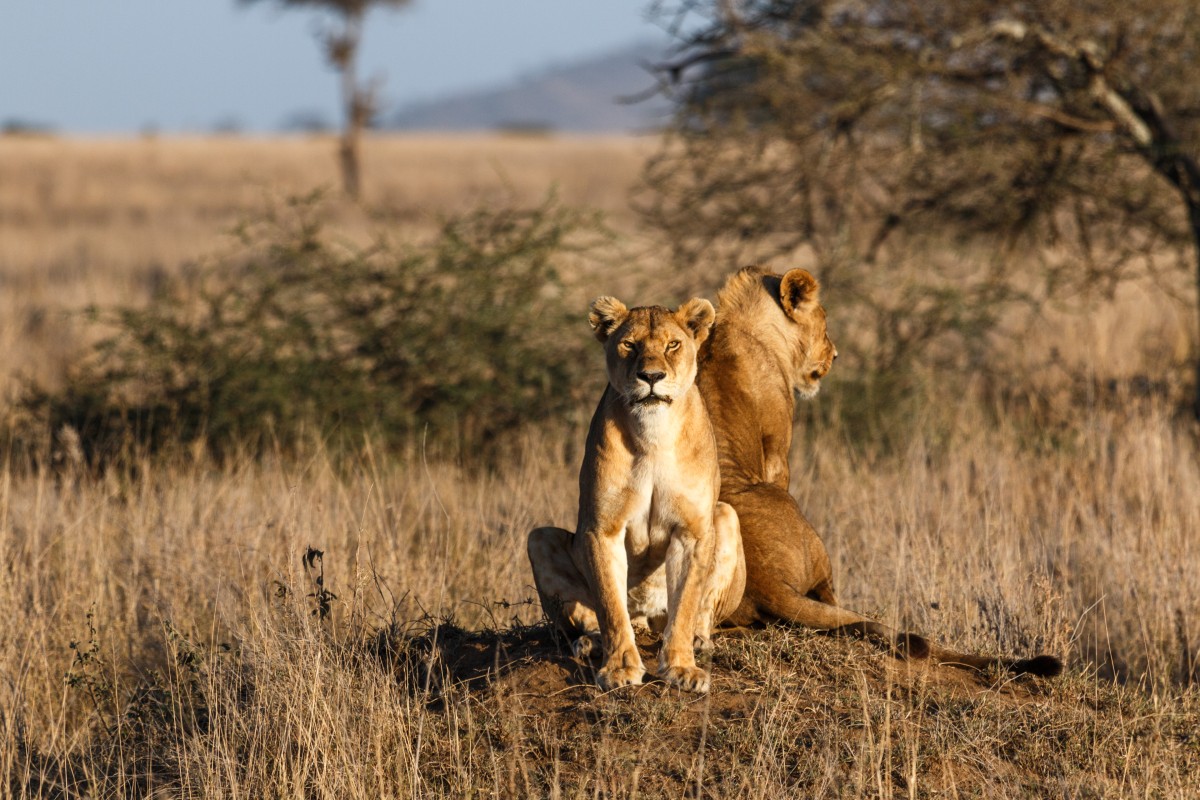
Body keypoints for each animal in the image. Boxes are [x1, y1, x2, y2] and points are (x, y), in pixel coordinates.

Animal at [530, 297, 744, 690]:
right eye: (629, 345)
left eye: (673, 345)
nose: (652, 377)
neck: (653, 433)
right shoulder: (602, 528)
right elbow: (610, 606)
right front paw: (619, 669)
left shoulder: (692, 530)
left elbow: (686, 604)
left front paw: (682, 668)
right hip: (538, 537)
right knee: (595, 618)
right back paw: (590, 643)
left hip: (725, 515)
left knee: (700, 612)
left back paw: (699, 641)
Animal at [700, 267, 1060, 676]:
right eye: (825, 324)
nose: (836, 355)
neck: (745, 326)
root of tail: (766, 584)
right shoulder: (778, 450)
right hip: (795, 516)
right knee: (828, 596)